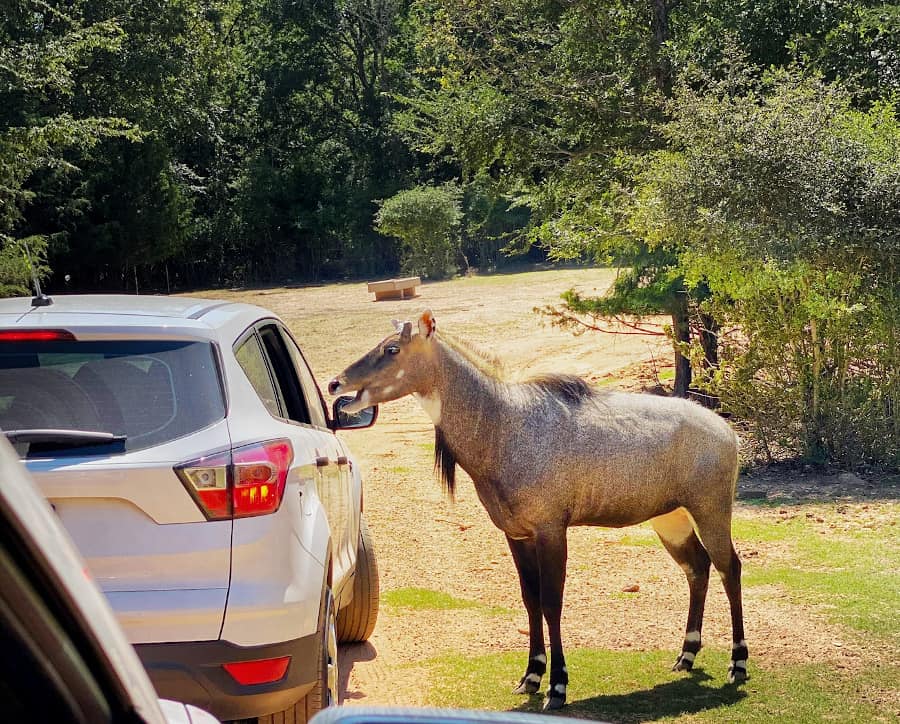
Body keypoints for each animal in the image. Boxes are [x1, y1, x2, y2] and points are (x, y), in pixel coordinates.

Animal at [326, 310, 748, 708]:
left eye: (392, 349)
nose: (335, 385)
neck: (502, 425)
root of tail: (727, 431)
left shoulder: (551, 530)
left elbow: (551, 601)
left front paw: (557, 686)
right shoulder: (516, 533)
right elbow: (530, 600)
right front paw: (530, 676)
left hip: (710, 510)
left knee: (729, 567)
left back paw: (738, 663)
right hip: (670, 519)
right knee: (697, 567)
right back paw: (686, 656)